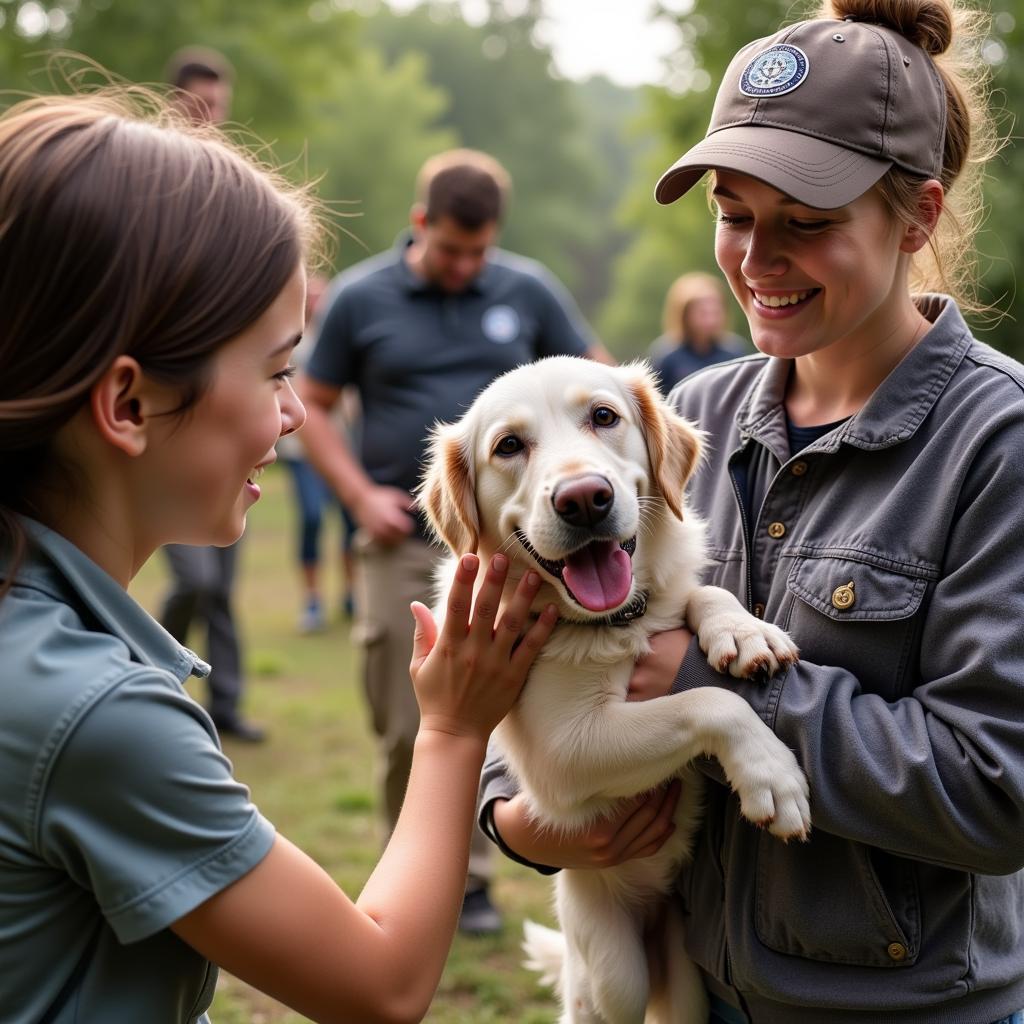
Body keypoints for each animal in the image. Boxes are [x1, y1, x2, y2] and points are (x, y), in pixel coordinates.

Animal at [415, 358, 806, 1024]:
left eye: (604, 416)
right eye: (508, 446)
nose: (584, 499)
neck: (614, 623)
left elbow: (702, 594)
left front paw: (743, 631)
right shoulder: (563, 754)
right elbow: (708, 702)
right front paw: (772, 777)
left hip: (685, 989)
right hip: (612, 976)